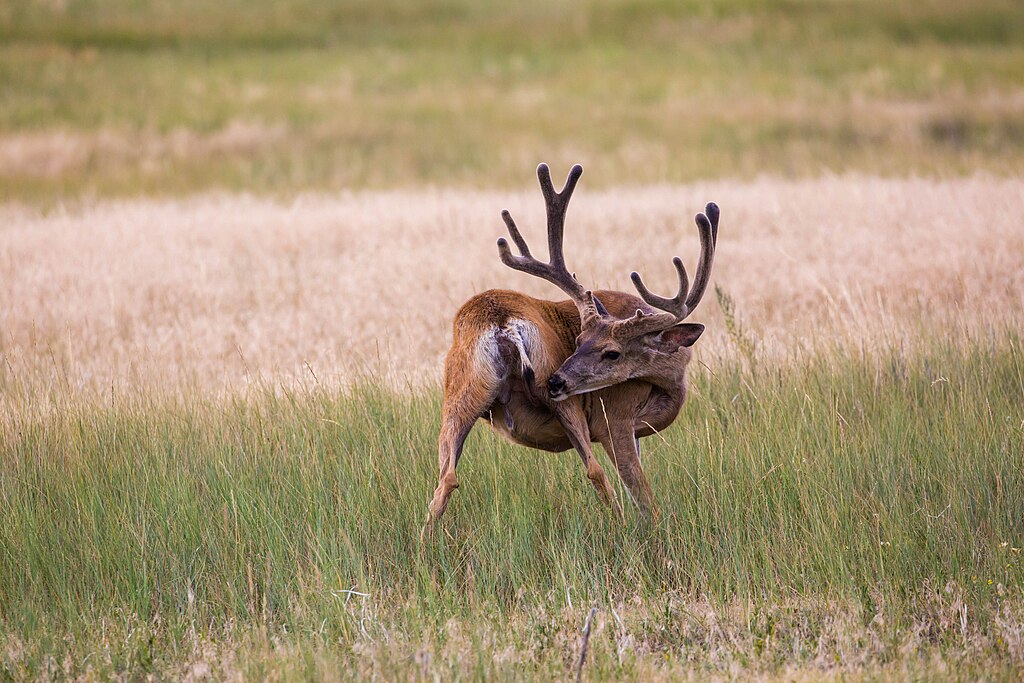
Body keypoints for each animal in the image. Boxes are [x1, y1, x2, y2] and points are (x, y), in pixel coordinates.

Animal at [423, 163, 718, 534]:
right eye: (578, 341)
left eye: (610, 352)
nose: (557, 379)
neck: (671, 380)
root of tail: (501, 321)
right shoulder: (615, 417)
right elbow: (643, 496)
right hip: (560, 400)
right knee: (596, 471)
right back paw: (620, 529)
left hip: (462, 393)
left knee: (445, 479)